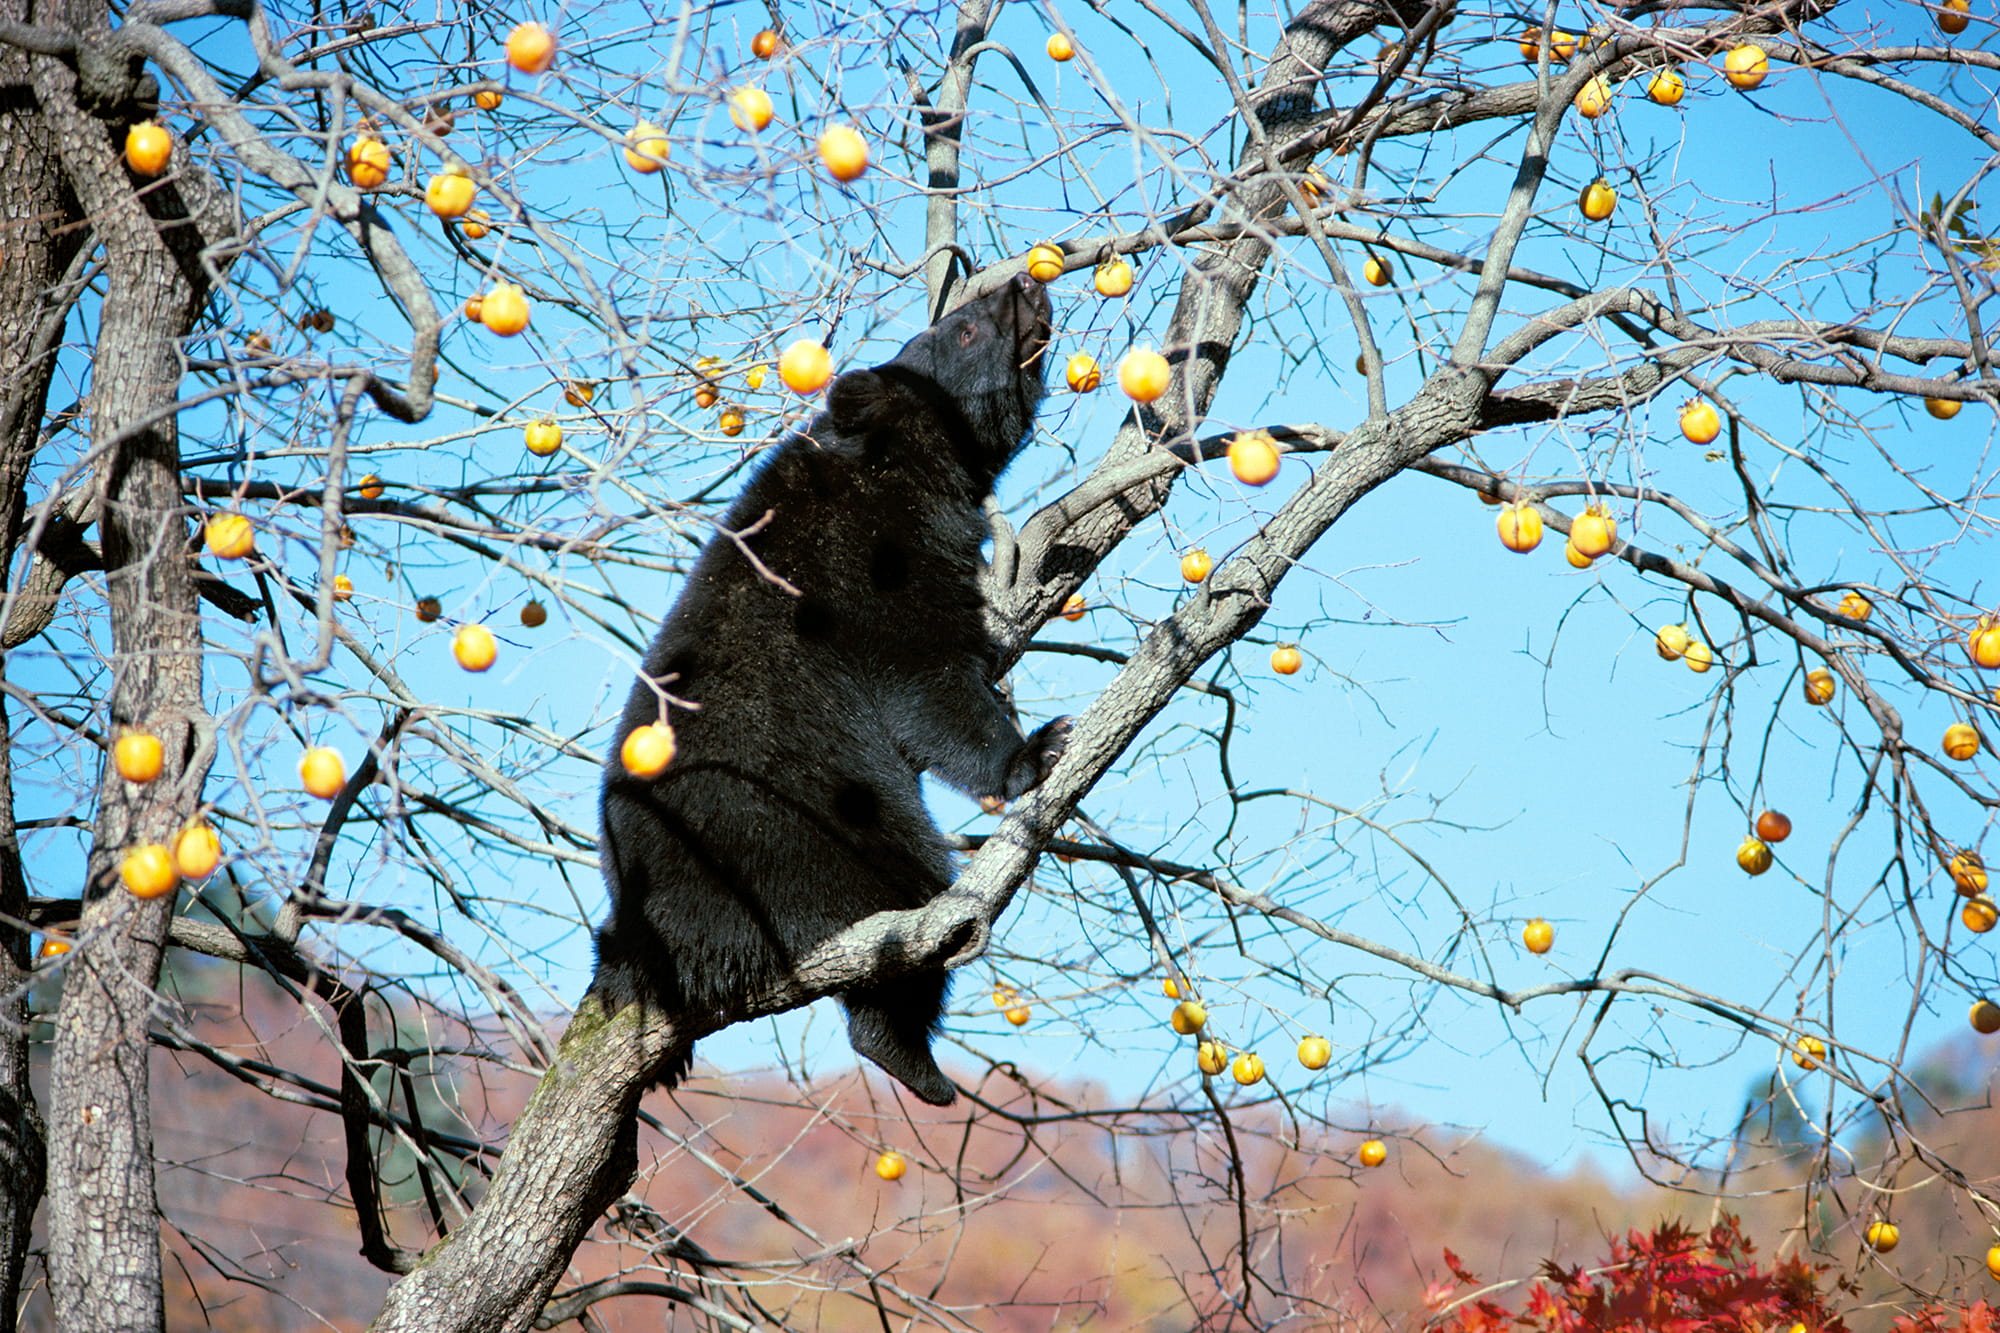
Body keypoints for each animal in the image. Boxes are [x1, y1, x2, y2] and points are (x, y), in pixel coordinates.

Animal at [592, 268, 1072, 1096]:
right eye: (966, 329)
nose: (1025, 280)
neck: (902, 470)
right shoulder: (869, 567)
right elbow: (926, 681)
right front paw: (1033, 750)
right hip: (820, 834)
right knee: (909, 909)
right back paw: (909, 1051)